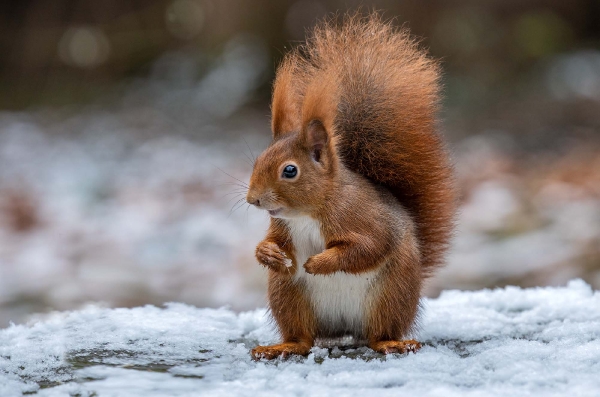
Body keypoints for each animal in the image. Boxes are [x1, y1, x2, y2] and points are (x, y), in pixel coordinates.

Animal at [244, 13, 454, 358]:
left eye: (290, 170)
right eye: (258, 159)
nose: (253, 200)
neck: (310, 212)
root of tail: (344, 329)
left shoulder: (364, 219)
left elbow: (368, 247)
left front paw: (319, 262)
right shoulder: (282, 227)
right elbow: (274, 243)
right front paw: (268, 253)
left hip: (392, 293)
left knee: (378, 333)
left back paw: (392, 342)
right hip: (287, 293)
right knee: (304, 338)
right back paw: (282, 346)